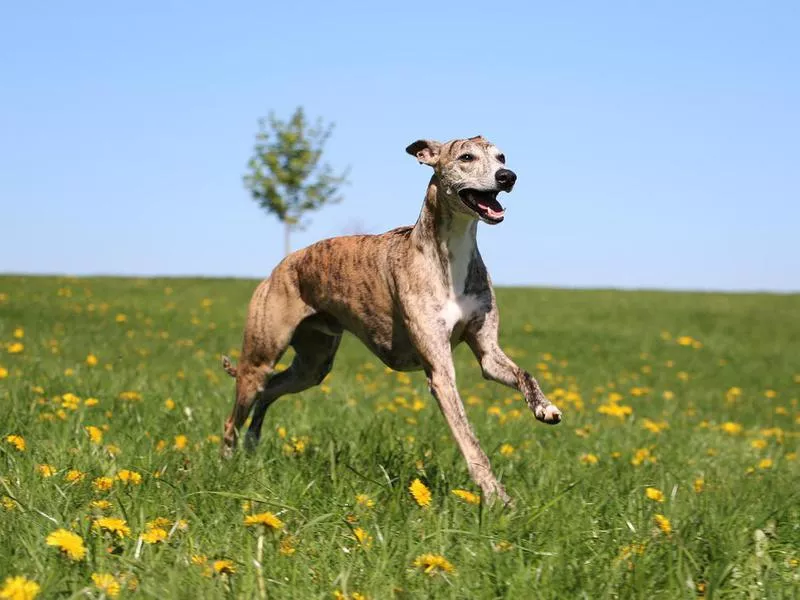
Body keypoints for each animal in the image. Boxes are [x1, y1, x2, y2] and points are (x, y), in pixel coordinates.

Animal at [220, 135, 564, 502]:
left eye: (502, 157)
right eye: (466, 157)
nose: (508, 177)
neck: (449, 252)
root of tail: (280, 266)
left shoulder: (487, 352)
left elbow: (523, 373)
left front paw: (545, 408)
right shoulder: (441, 373)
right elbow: (469, 439)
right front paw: (496, 496)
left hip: (312, 366)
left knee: (269, 391)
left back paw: (252, 444)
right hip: (260, 357)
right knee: (236, 414)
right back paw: (226, 467)